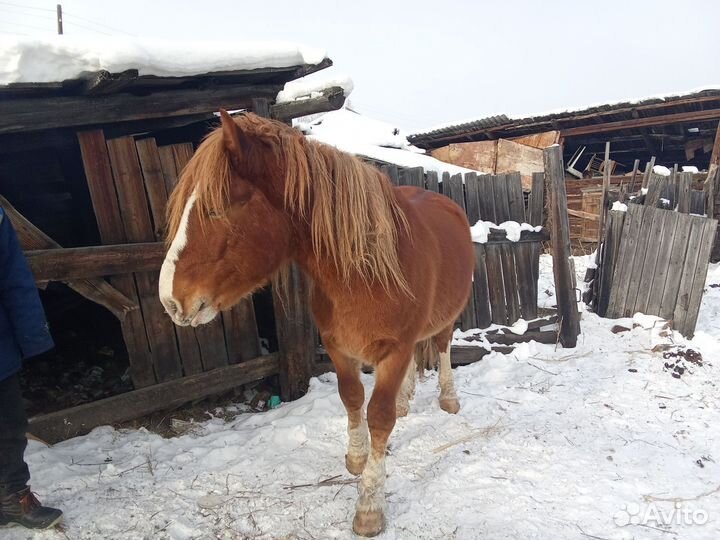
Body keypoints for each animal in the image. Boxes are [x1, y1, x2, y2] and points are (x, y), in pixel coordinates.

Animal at [159, 111, 475, 536]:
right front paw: (357, 458)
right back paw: (406, 401)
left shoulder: (394, 350)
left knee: (441, 348)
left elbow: (379, 415)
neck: (366, 271)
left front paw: (369, 508)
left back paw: (448, 399)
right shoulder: (338, 347)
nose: (170, 299)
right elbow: (353, 399)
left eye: (215, 208)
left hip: (447, 318)